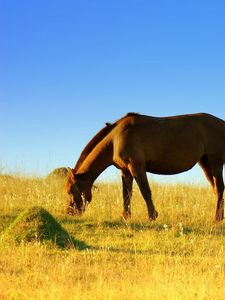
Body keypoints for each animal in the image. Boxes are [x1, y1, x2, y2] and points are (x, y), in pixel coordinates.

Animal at [65, 112, 225, 223]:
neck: (116, 139)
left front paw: (152, 216)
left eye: (71, 190)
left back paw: (216, 218)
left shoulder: (137, 167)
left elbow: (145, 192)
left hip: (215, 162)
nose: (69, 213)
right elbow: (126, 194)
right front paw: (125, 216)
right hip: (205, 163)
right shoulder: (125, 171)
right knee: (216, 189)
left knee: (219, 188)